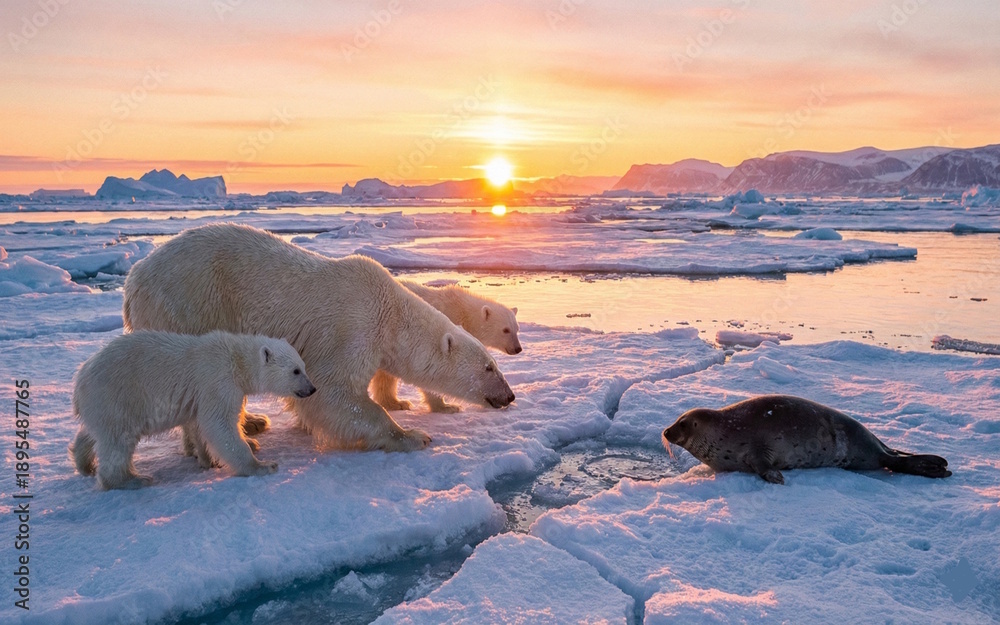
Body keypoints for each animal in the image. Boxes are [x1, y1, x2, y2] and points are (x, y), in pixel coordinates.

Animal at [69, 330, 316, 490]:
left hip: (102, 405)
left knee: (94, 434)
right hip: (117, 396)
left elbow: (198, 424)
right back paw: (133, 480)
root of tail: (79, 381)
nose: (312, 388)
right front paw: (262, 465)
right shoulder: (218, 381)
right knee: (118, 441)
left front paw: (207, 460)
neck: (236, 359)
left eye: (304, 366)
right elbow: (218, 424)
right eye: (296, 371)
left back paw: (84, 463)